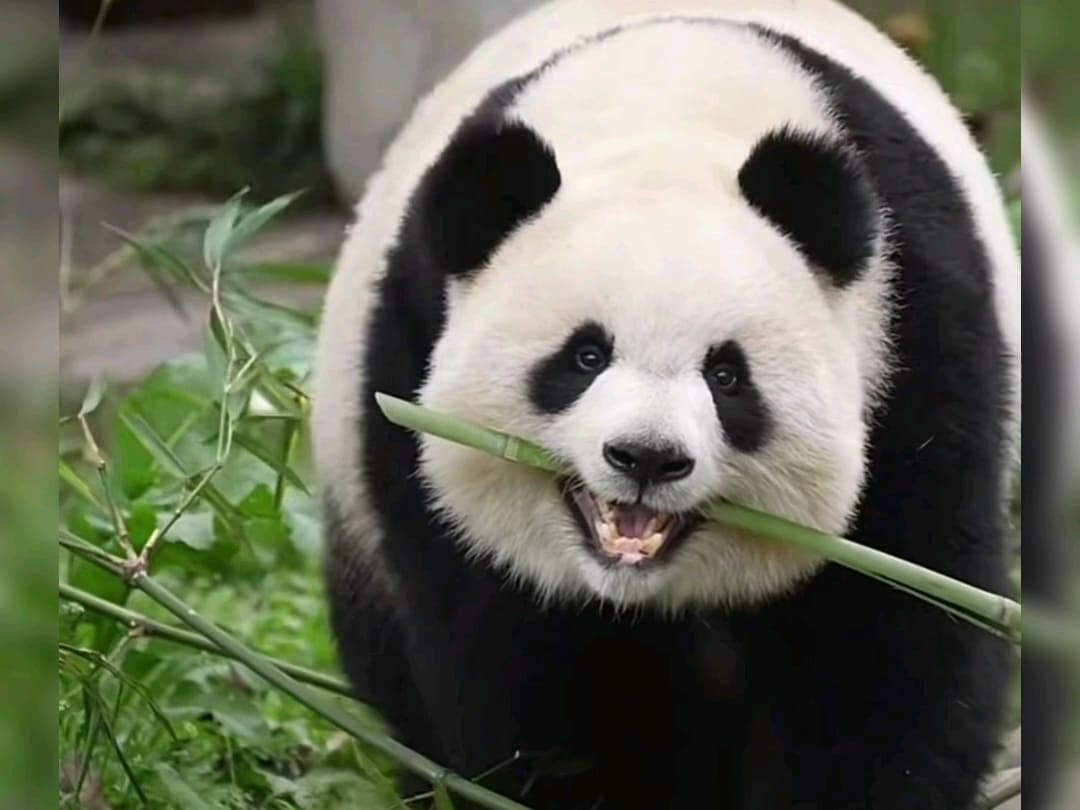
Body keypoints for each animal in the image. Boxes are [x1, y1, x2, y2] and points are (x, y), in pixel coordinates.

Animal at [313, 2, 1024, 808]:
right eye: (586, 356)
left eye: (727, 375)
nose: (647, 457)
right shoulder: (407, 357)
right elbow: (518, 665)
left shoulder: (915, 344)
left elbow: (895, 633)